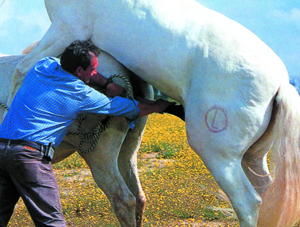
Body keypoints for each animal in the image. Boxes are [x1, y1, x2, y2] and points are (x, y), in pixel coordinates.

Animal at [5, 0, 300, 227]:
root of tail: (279, 82)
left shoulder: (66, 29)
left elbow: (22, 69)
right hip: (253, 157)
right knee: (268, 197)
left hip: (219, 156)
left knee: (249, 204)